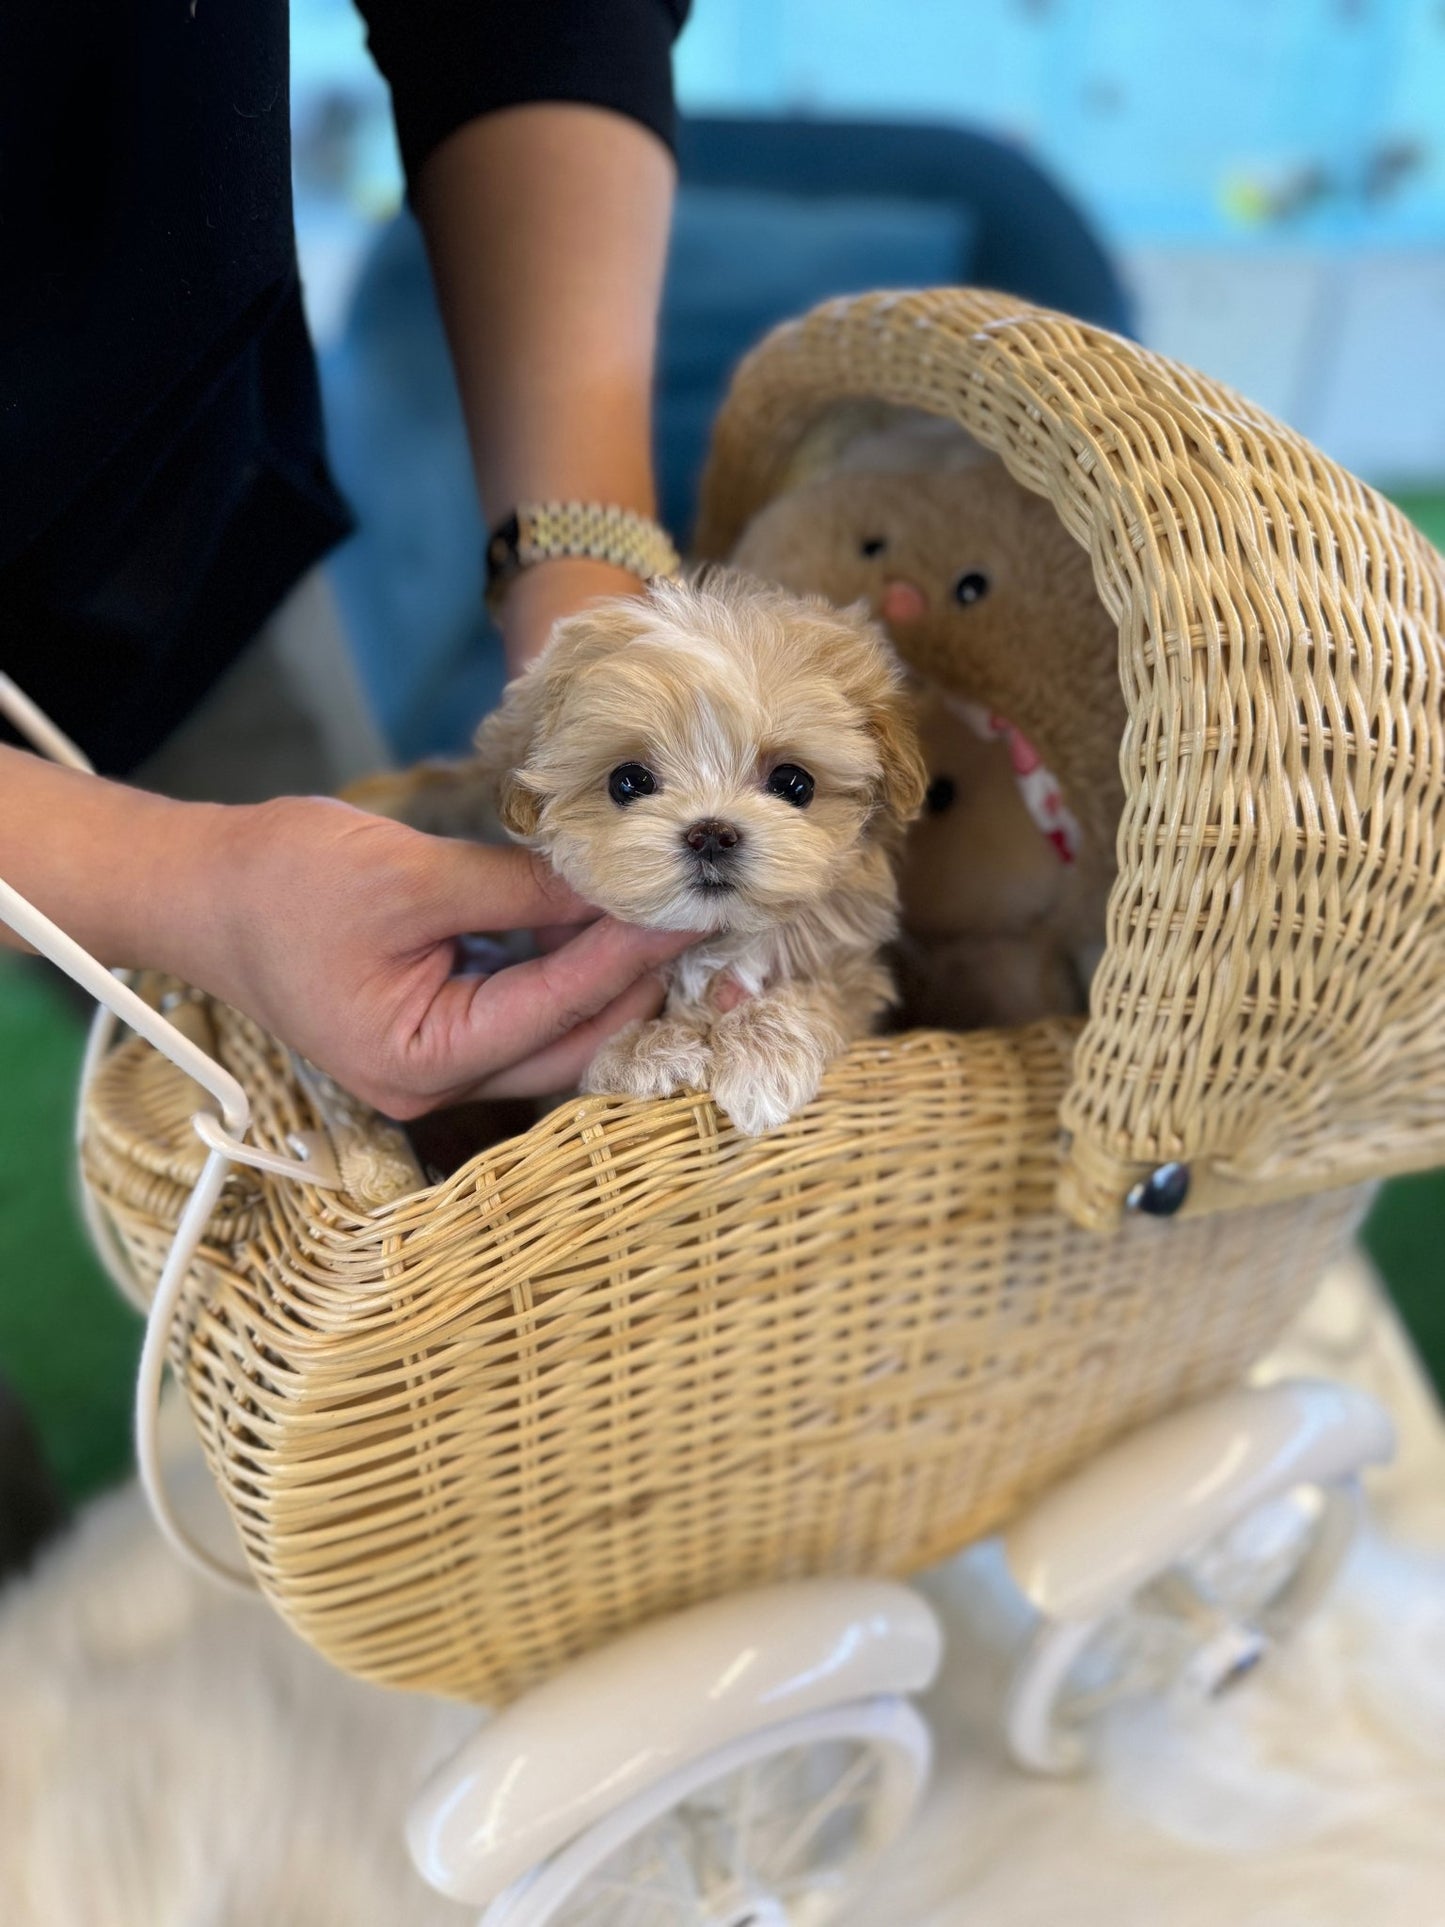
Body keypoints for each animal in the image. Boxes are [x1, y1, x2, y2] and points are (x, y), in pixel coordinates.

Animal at [475, 570, 928, 1140]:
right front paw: (645, 1052)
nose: (710, 833)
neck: (718, 936)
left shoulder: (852, 970)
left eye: (794, 784)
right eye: (628, 782)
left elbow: (824, 989)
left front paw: (763, 1055)